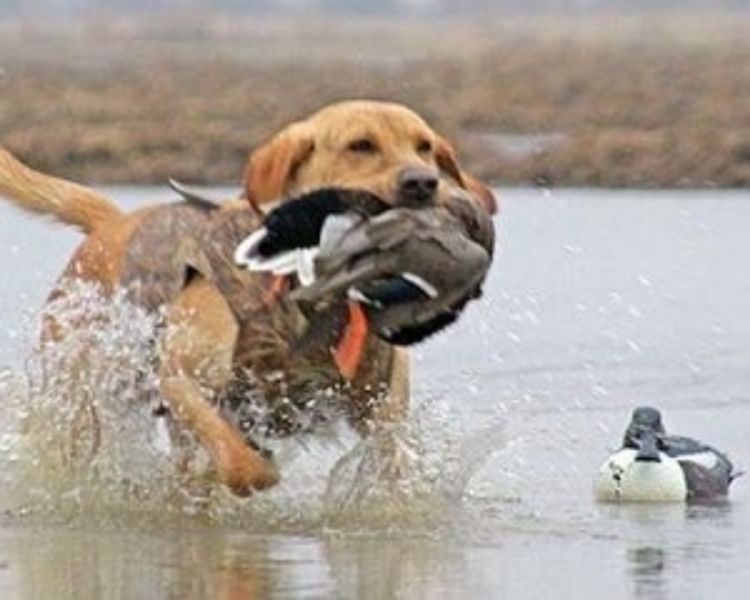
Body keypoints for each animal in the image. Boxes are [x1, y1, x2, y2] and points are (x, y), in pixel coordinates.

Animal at [0, 100, 496, 496]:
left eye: (424, 146)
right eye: (361, 145)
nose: (424, 183)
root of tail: (112, 223)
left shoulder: (381, 410)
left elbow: (392, 465)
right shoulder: (181, 378)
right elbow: (241, 463)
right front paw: (247, 469)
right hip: (78, 398)